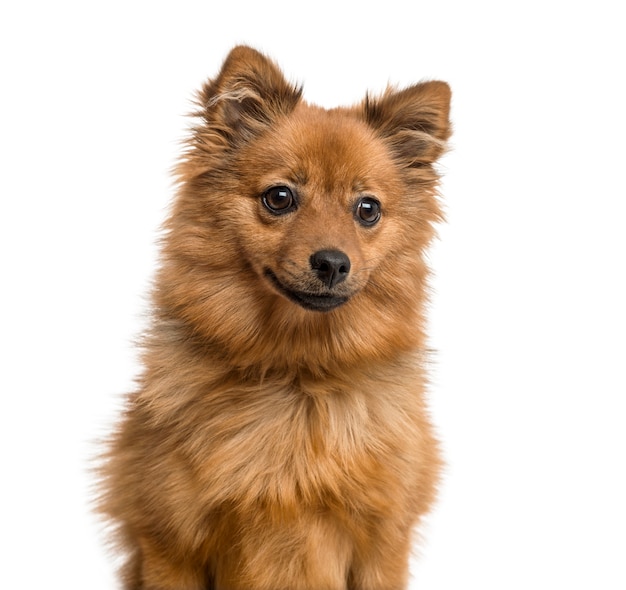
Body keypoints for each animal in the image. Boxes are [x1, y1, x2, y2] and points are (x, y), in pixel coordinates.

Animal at [96, 46, 448, 590]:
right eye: (279, 197)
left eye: (367, 209)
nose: (332, 263)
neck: (294, 369)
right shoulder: (171, 545)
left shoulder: (382, 544)